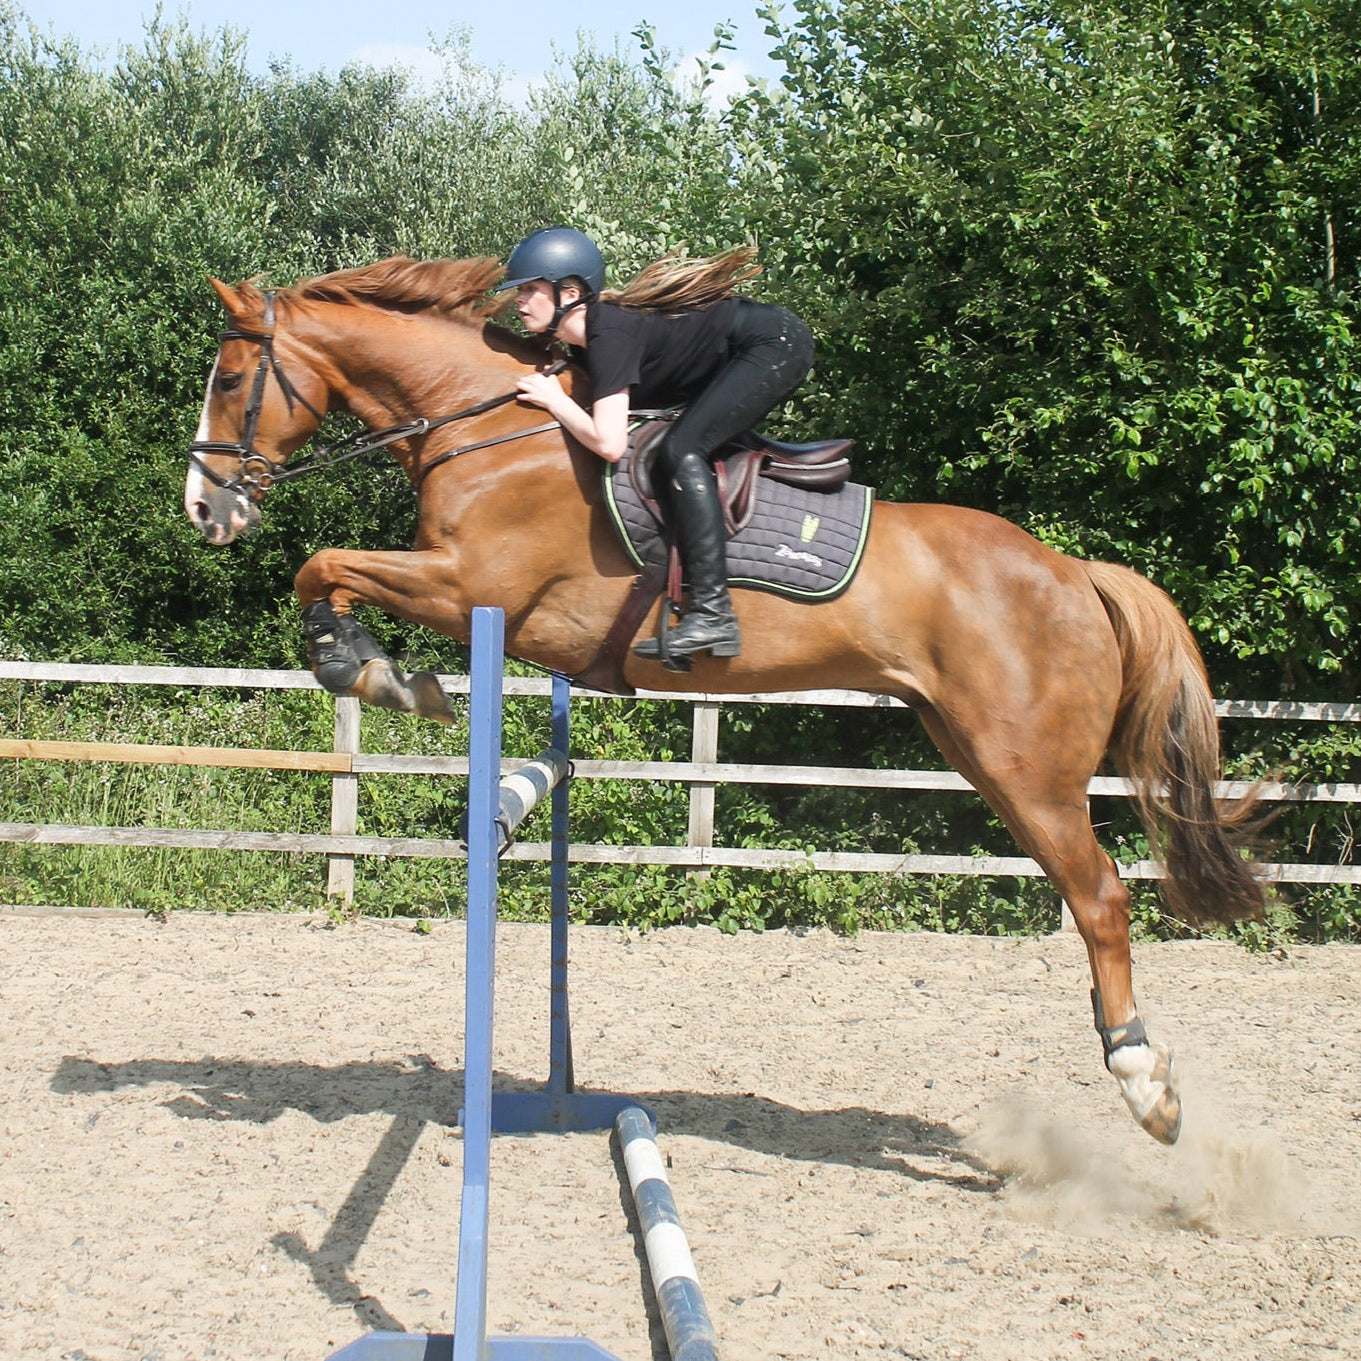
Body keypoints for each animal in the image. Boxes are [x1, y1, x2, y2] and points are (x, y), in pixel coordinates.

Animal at [184, 255, 1264, 1147]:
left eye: (230, 382)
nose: (205, 509)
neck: (485, 428)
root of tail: (1074, 572)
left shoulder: (466, 587)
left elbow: (322, 563)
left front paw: (368, 670)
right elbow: (324, 568)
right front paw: (369, 665)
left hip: (1024, 767)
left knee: (1100, 898)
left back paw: (1144, 1084)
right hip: (974, 752)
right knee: (1087, 893)